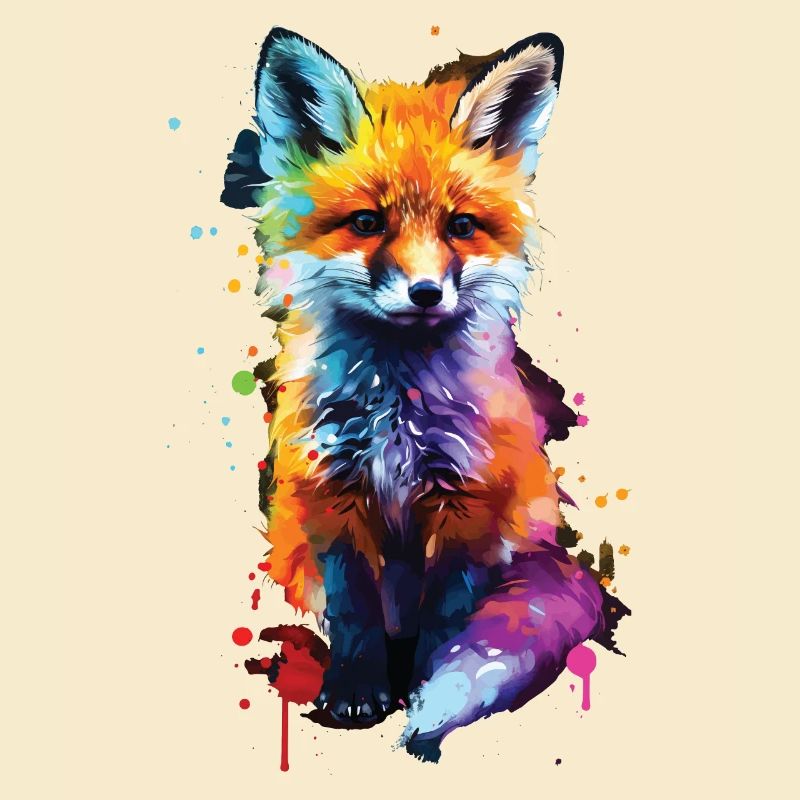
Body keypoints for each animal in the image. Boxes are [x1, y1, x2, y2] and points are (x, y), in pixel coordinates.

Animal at [221, 27, 625, 762]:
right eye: (366, 222)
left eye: (461, 226)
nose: (427, 293)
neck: (397, 411)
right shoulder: (332, 495)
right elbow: (354, 613)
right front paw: (356, 693)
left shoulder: (468, 502)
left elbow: (445, 623)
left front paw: (417, 689)